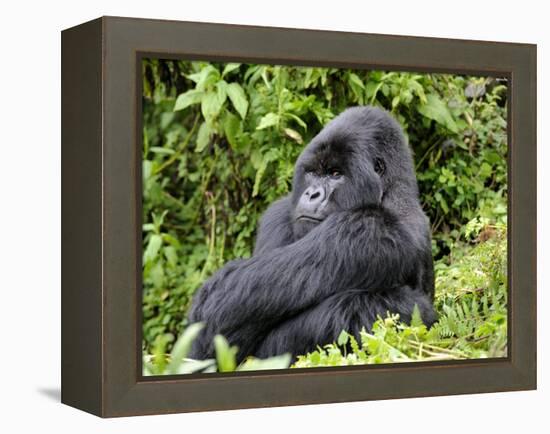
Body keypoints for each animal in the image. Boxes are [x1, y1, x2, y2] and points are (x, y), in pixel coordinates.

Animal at [188, 106, 438, 362]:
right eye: (313, 173)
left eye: (336, 174)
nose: (312, 194)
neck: (392, 193)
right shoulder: (279, 213)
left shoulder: (367, 228)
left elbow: (223, 303)